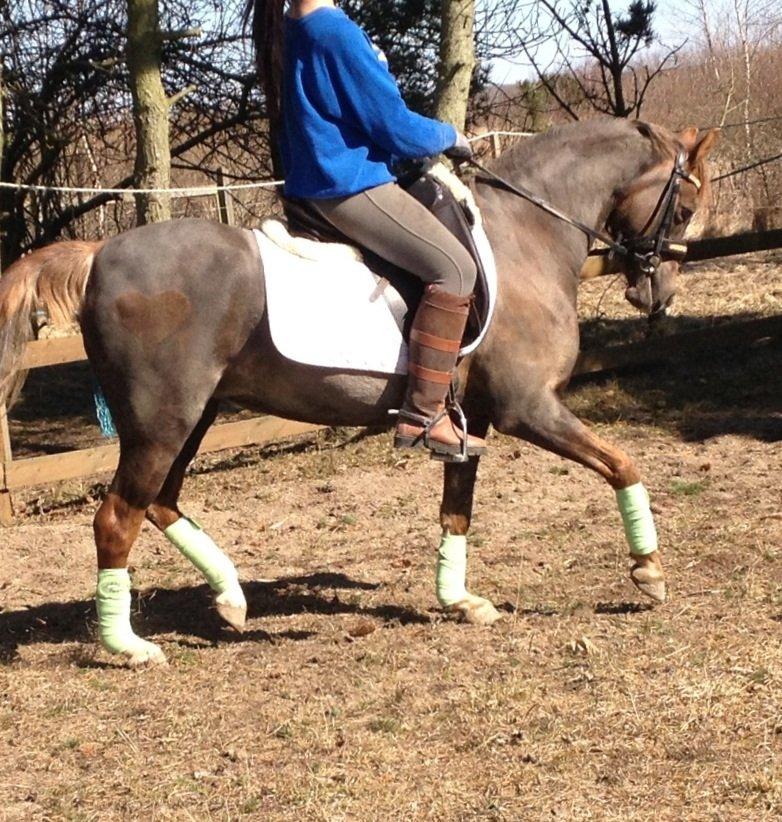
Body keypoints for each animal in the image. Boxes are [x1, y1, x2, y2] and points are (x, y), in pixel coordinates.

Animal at [0, 117, 718, 666]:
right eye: (683, 208)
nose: (657, 293)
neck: (527, 236)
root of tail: (101, 252)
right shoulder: (528, 409)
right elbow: (623, 464)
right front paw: (648, 572)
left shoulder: (475, 422)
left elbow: (457, 510)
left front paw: (460, 600)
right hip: (163, 422)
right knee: (117, 517)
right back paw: (129, 647)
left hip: (193, 417)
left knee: (160, 503)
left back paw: (232, 599)